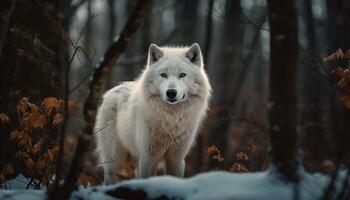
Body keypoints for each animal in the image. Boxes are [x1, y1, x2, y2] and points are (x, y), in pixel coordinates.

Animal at [94, 43, 212, 183]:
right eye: (163, 75)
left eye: (182, 75)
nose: (171, 92)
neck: (172, 119)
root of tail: (112, 90)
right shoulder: (148, 158)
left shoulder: (176, 159)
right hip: (114, 160)